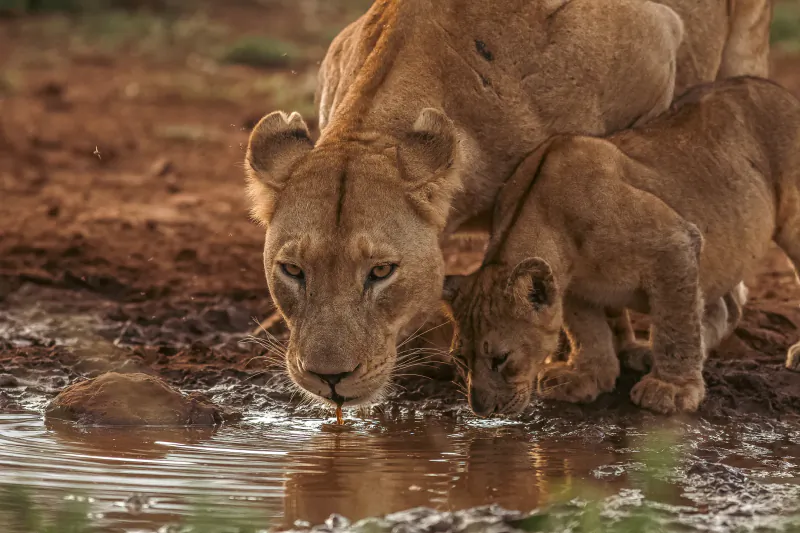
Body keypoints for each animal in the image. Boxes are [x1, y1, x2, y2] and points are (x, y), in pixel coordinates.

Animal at [442, 77, 800, 416]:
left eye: (501, 358)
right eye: (460, 359)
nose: (481, 409)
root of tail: (783, 92)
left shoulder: (675, 242)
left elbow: (676, 324)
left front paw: (671, 388)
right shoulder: (573, 287)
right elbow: (587, 330)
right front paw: (588, 376)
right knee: (725, 307)